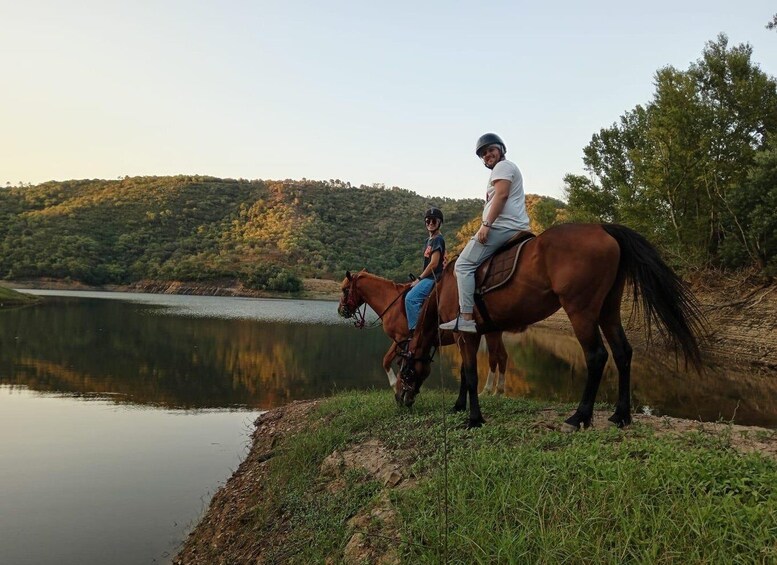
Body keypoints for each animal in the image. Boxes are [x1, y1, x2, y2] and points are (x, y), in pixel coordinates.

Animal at [338, 270, 509, 394]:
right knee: (502, 357)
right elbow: (390, 360)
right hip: (495, 332)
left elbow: (386, 360)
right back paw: (498, 391)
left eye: (345, 290)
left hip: (491, 333)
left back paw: (487, 391)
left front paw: (395, 385)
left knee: (493, 358)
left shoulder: (402, 338)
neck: (391, 302)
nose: (340, 310)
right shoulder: (402, 341)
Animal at [398, 223, 707, 430]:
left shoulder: (466, 336)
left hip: (581, 312)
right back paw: (621, 415)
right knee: (622, 352)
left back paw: (580, 416)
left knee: (597, 356)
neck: (447, 286)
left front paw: (473, 418)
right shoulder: (472, 336)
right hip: (608, 310)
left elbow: (472, 376)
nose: (401, 399)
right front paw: (459, 406)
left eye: (404, 369)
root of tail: (602, 228)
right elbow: (465, 372)